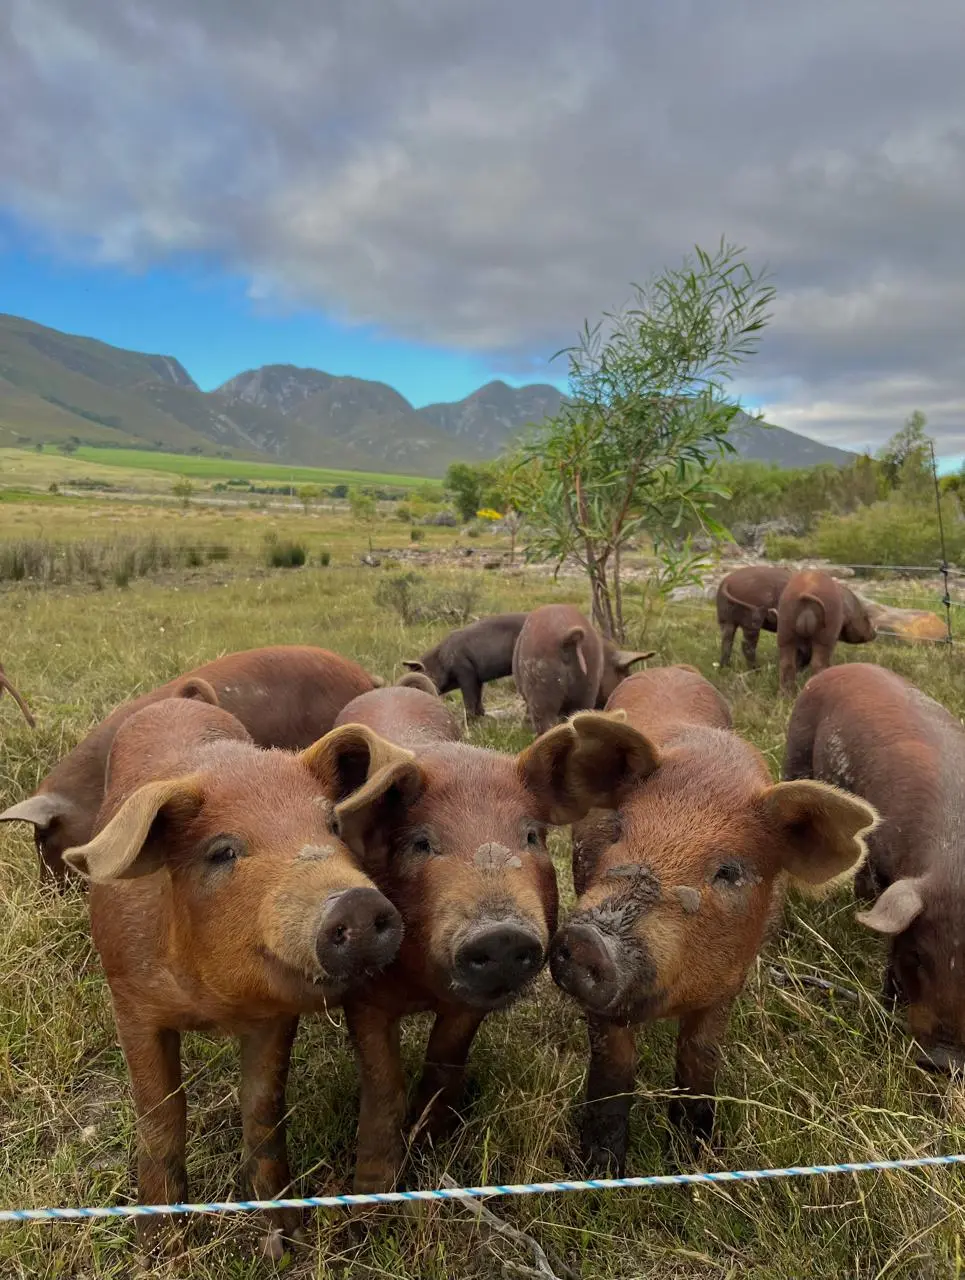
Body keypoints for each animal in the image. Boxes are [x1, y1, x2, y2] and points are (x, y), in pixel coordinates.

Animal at [61, 696, 410, 1257]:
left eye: (332, 826)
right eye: (223, 851)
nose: (355, 902)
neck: (213, 1005)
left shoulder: (275, 1016)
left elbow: (263, 1106)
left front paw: (285, 1240)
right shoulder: (131, 1003)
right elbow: (160, 1113)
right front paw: (160, 1251)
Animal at [328, 684, 653, 1193]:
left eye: (532, 837)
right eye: (421, 844)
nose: (501, 934)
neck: (422, 987)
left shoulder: (467, 1008)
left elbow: (445, 1060)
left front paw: (432, 1144)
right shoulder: (363, 994)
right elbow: (382, 1088)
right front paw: (372, 1195)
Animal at [549, 666, 878, 1173]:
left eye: (729, 871)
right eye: (618, 830)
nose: (588, 938)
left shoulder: (730, 983)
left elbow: (699, 1062)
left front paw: (692, 1164)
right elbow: (612, 1074)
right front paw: (602, 1173)